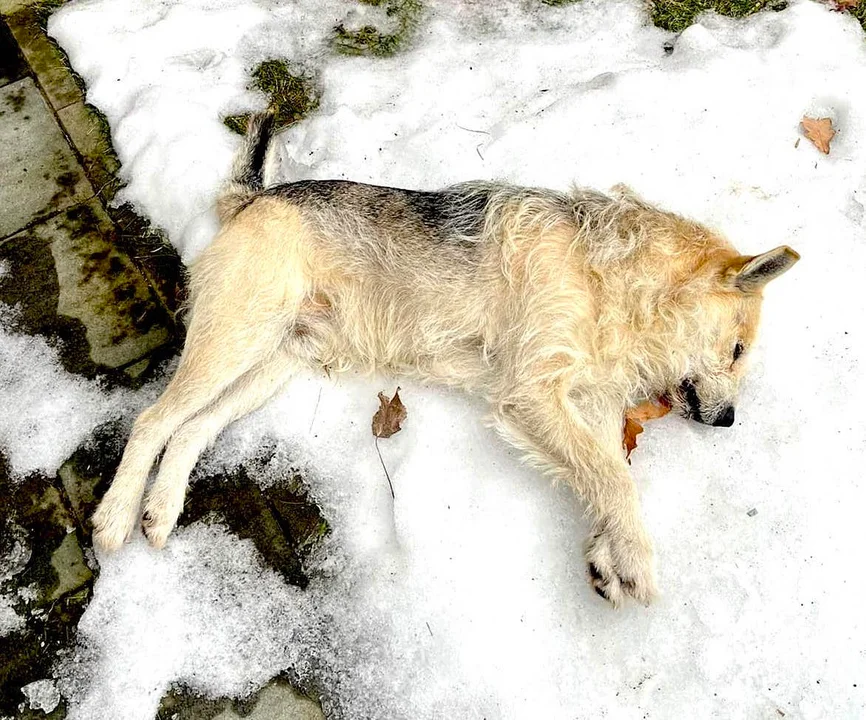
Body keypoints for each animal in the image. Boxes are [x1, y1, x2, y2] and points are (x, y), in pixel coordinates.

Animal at [93, 114, 796, 608]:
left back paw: (161, 511)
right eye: (737, 349)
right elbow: (612, 476)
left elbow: (602, 472)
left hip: (271, 366)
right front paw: (637, 559)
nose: (730, 421)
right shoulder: (532, 393)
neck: (614, 283)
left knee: (190, 428)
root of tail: (256, 199)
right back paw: (116, 516)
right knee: (152, 421)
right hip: (233, 340)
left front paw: (607, 552)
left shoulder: (582, 401)